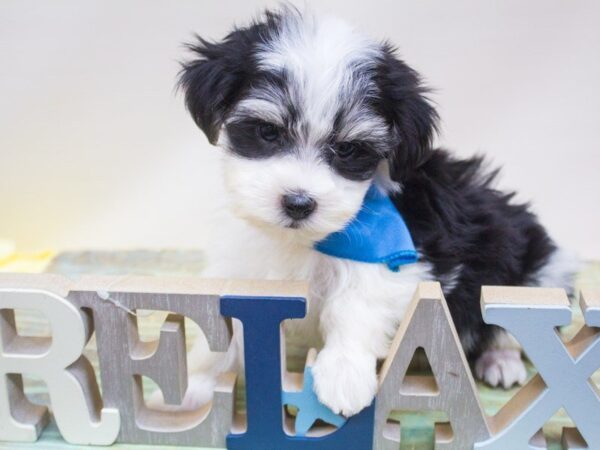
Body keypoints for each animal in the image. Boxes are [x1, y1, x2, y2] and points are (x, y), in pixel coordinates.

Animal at [171, 6, 580, 418]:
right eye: (267, 132)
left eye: (348, 149)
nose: (299, 203)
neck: (304, 240)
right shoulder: (247, 265)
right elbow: (227, 326)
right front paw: (198, 384)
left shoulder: (404, 254)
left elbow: (358, 300)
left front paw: (343, 373)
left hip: (530, 260)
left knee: (510, 316)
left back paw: (500, 358)